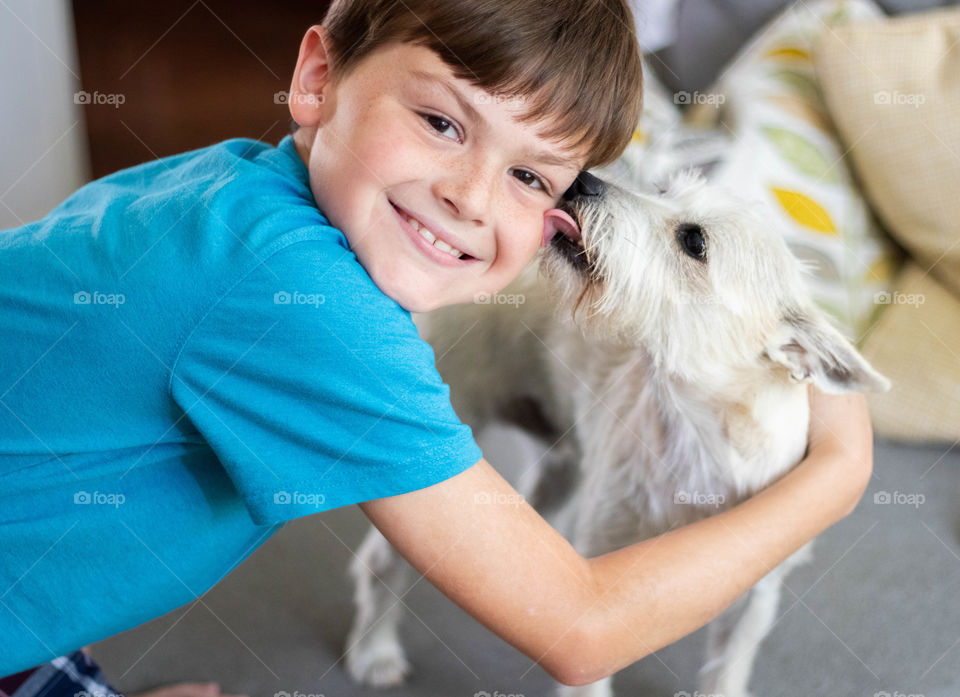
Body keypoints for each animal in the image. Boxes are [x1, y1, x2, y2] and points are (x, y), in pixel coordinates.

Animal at [344, 170, 892, 696]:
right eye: (664, 190)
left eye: (695, 241)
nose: (581, 180)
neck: (698, 439)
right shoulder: (606, 588)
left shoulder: (754, 599)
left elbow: (727, 669)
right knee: (381, 563)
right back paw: (374, 652)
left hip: (558, 471)